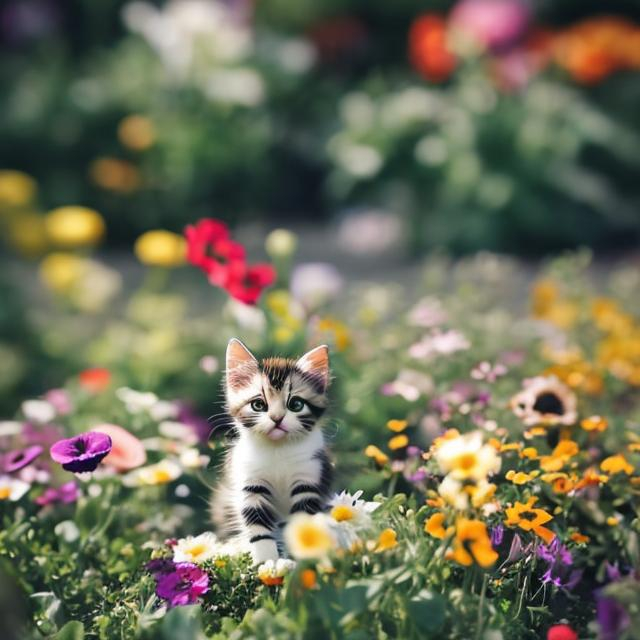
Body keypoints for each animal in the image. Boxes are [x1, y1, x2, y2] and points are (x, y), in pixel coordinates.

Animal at [214, 338, 336, 564]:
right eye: (258, 404)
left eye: (295, 404)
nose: (277, 418)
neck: (277, 449)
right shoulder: (250, 482)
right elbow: (257, 525)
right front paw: (267, 561)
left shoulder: (309, 475)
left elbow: (301, 521)